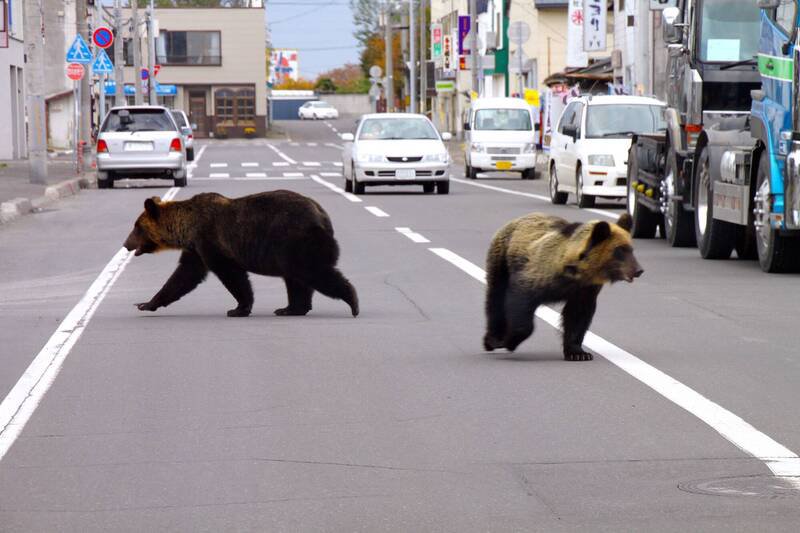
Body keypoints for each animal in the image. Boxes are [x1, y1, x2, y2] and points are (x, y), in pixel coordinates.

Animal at [123, 190, 359, 318]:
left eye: (136, 227)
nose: (125, 244)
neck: (187, 229)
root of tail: (323, 215)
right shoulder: (196, 249)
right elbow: (183, 277)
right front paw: (145, 303)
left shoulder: (210, 240)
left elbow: (231, 275)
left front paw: (238, 308)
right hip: (290, 249)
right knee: (296, 279)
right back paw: (290, 308)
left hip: (296, 241)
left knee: (312, 272)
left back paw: (352, 302)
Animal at [482, 212, 642, 361]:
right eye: (620, 250)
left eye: (631, 249)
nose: (639, 270)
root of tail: (517, 220)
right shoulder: (536, 275)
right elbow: (520, 302)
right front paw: (509, 341)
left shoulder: (584, 290)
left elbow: (577, 316)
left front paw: (578, 353)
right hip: (502, 259)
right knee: (495, 295)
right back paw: (492, 339)